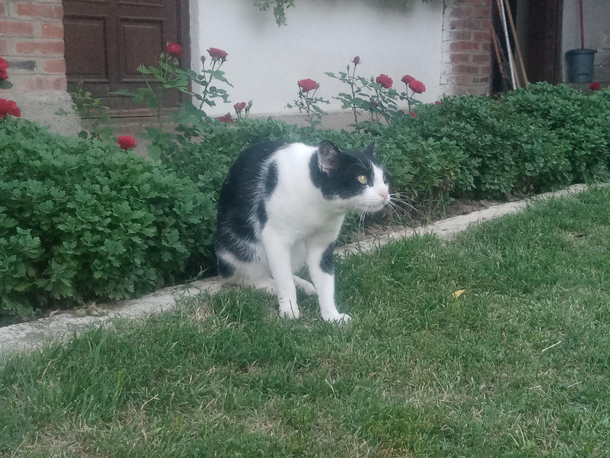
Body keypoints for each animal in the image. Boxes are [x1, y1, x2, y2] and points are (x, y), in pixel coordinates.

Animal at [216, 140, 390, 322]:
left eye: (384, 178)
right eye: (362, 179)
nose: (385, 193)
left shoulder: (322, 242)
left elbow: (326, 280)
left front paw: (332, 316)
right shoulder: (274, 238)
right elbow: (284, 280)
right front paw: (289, 310)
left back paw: (304, 286)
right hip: (239, 247)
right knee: (243, 275)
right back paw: (270, 286)